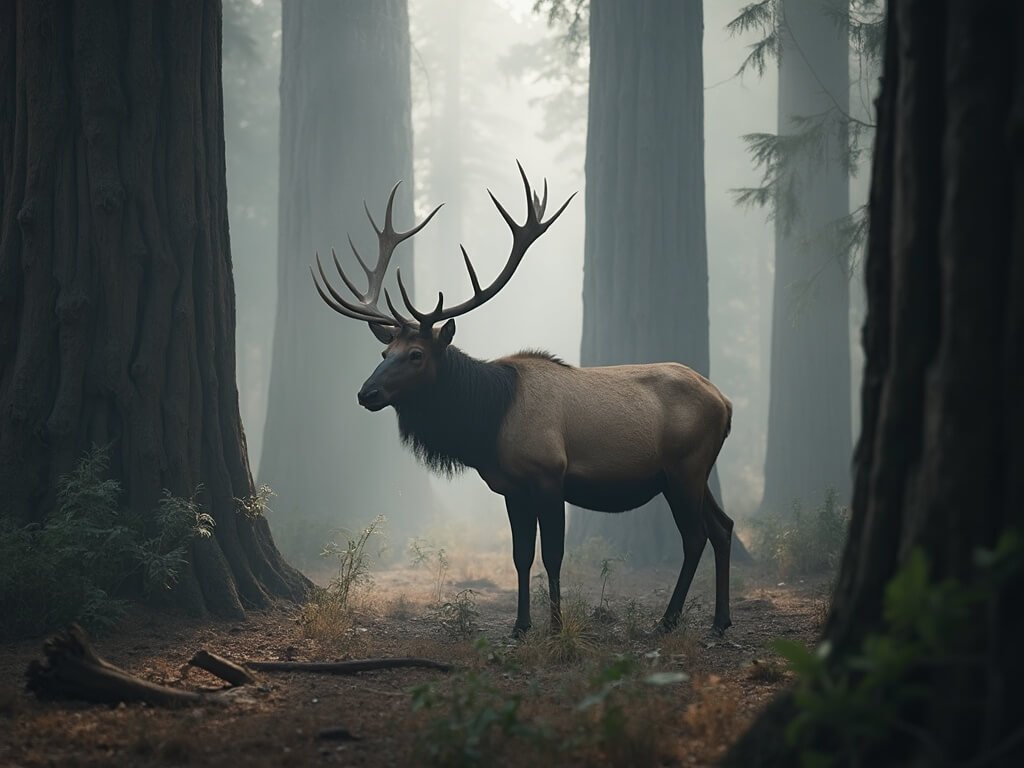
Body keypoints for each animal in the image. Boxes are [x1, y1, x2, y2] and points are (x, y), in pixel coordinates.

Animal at [311, 163, 735, 637]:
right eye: (385, 354)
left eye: (416, 354)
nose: (366, 393)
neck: (487, 424)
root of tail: (726, 403)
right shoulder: (511, 487)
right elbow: (520, 556)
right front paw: (519, 625)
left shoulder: (549, 475)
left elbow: (552, 555)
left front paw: (555, 625)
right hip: (690, 471)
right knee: (723, 527)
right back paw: (720, 620)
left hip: (685, 467)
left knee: (696, 536)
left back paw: (670, 620)